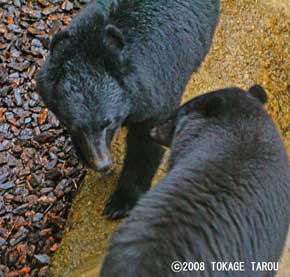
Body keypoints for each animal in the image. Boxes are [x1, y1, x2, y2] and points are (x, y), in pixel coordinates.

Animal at [36, 0, 220, 218]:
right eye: (74, 125)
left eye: (108, 123)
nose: (102, 164)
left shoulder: (158, 85)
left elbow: (146, 142)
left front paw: (121, 202)